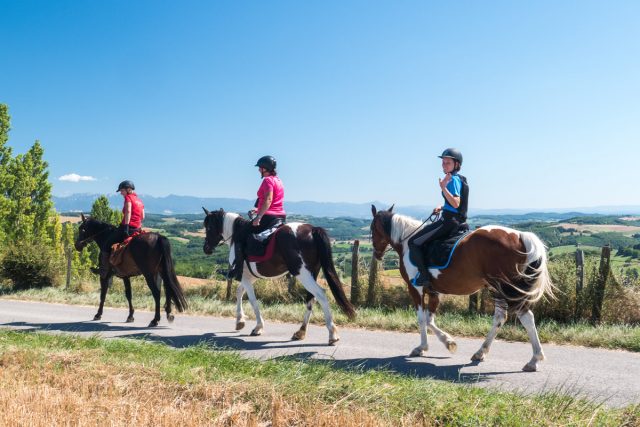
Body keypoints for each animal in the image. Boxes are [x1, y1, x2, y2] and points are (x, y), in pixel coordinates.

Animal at [204, 209, 358, 346]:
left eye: (209, 227)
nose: (206, 248)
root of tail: (312, 230)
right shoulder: (249, 277)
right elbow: (239, 292)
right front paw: (240, 321)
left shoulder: (245, 276)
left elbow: (253, 300)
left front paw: (258, 327)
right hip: (312, 272)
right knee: (311, 298)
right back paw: (301, 332)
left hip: (302, 273)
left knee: (320, 294)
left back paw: (332, 334)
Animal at [370, 206, 556, 372]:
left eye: (372, 229)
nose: (377, 254)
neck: (407, 242)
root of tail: (520, 235)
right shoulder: (434, 292)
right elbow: (430, 319)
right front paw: (448, 342)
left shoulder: (415, 288)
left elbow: (422, 319)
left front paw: (423, 347)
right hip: (498, 289)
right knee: (500, 318)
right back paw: (480, 353)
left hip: (507, 289)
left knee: (526, 318)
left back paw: (534, 360)